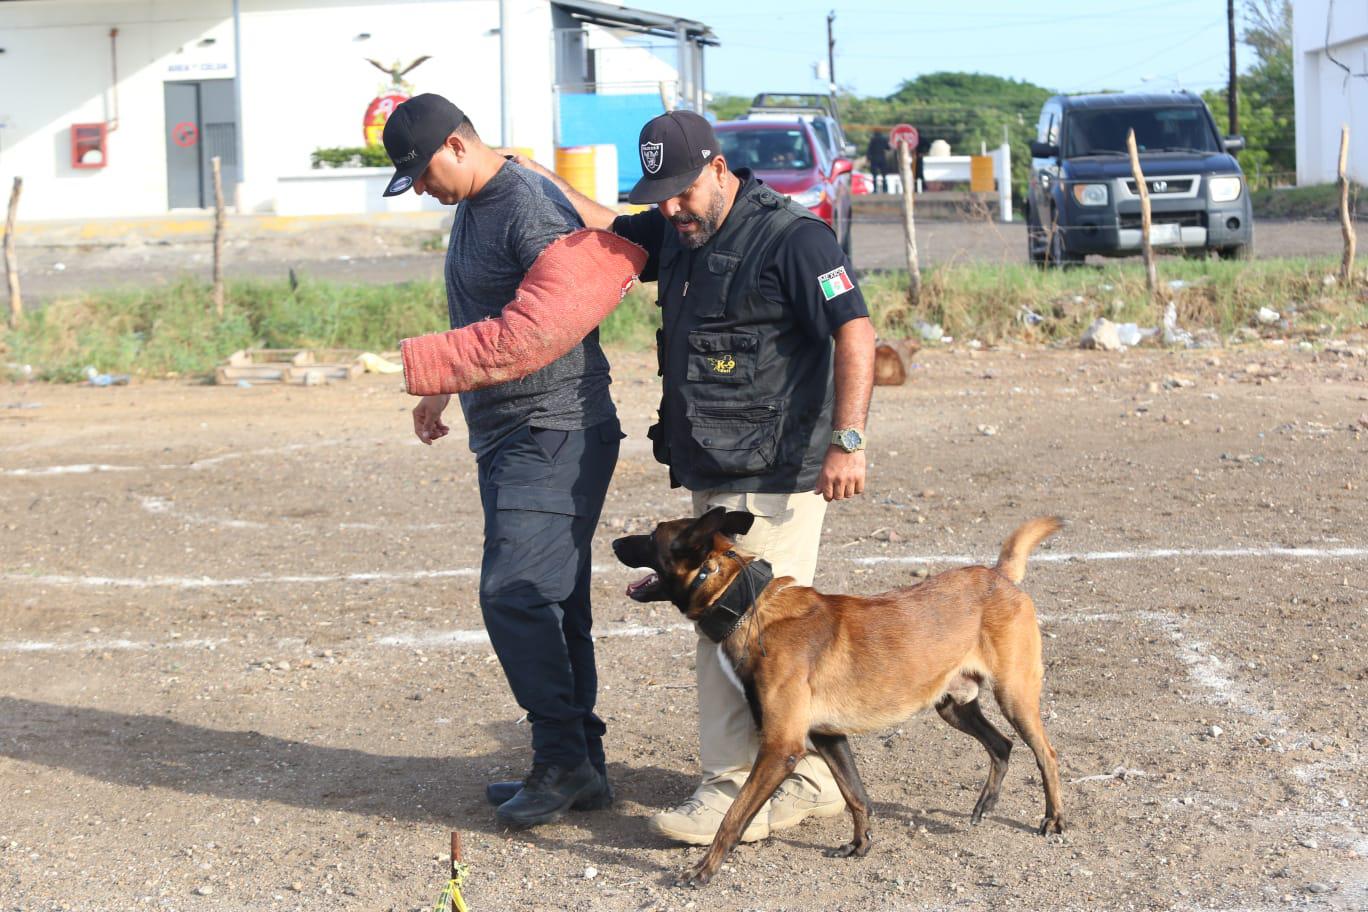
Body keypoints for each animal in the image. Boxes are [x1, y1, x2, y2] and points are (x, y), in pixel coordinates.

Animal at [612, 511, 1067, 886]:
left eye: (652, 535)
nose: (614, 542)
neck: (748, 605)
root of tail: (999, 576)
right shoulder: (829, 737)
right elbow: (856, 796)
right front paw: (861, 845)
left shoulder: (780, 748)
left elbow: (734, 816)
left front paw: (703, 870)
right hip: (954, 705)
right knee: (1002, 745)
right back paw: (986, 805)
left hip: (1014, 696)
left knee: (1045, 752)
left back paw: (1053, 818)